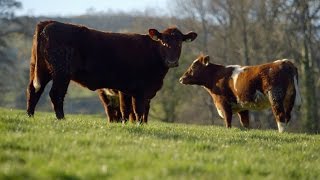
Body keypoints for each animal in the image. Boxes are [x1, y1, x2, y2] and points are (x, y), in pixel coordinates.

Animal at [26, 20, 198, 122]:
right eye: (163, 42)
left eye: (180, 43)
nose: (172, 61)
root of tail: (50, 22)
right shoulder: (139, 90)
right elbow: (136, 111)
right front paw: (138, 125)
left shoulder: (131, 90)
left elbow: (132, 111)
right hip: (61, 73)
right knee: (56, 94)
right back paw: (61, 118)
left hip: (40, 69)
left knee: (33, 91)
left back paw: (30, 115)